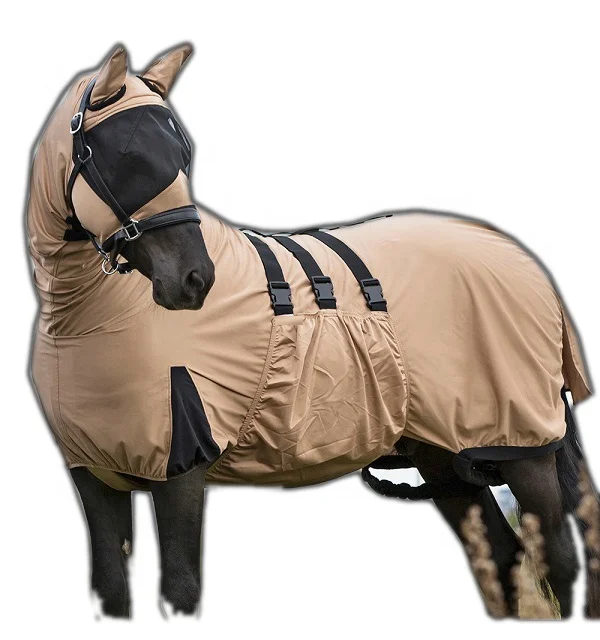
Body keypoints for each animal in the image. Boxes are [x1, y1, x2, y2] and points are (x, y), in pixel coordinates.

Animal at [27, 43, 600, 619]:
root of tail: (515, 254)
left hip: (522, 446)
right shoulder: (95, 476)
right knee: (502, 558)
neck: (96, 318)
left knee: (559, 559)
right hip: (443, 456)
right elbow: (112, 591)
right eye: (126, 156)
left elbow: (182, 590)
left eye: (180, 157)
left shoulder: (179, 470)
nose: (194, 280)